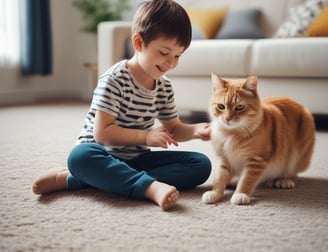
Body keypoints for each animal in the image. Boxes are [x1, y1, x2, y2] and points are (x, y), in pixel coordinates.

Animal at [202, 72, 316, 205]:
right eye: (221, 106)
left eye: (239, 107)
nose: (227, 119)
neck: (231, 134)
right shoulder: (223, 158)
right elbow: (219, 178)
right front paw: (215, 193)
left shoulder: (256, 160)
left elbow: (246, 180)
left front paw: (240, 194)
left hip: (298, 155)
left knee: (293, 173)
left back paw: (283, 180)